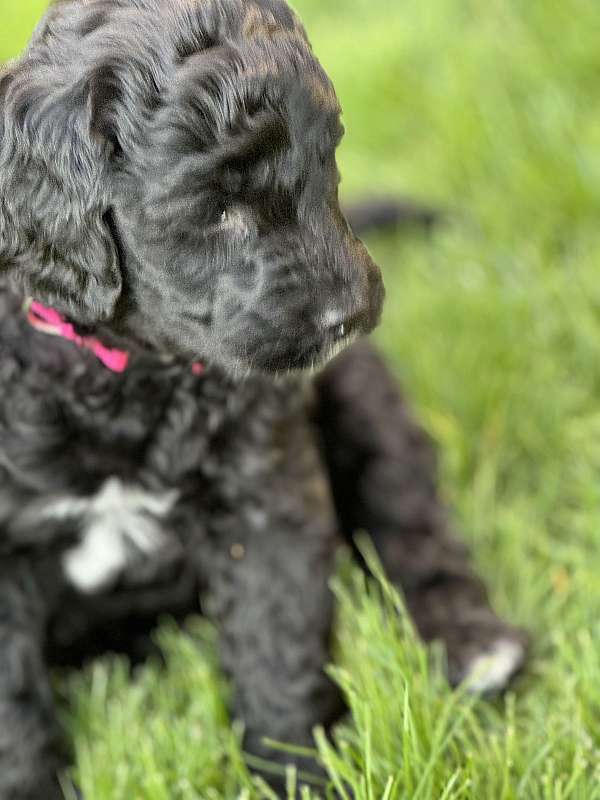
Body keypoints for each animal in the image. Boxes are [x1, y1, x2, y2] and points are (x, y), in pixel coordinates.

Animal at [0, 0, 524, 792]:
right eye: (216, 208)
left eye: (326, 161)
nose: (347, 316)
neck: (129, 377)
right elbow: (14, 710)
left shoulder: (267, 495)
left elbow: (279, 645)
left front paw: (300, 775)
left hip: (364, 401)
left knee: (410, 519)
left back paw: (476, 645)